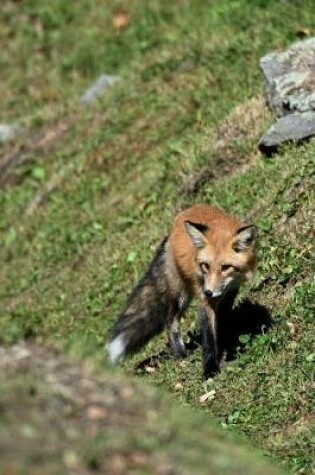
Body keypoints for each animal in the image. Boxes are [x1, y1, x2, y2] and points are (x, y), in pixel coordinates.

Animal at [107, 205, 258, 380]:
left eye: (225, 267)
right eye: (205, 266)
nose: (208, 291)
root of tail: (174, 226)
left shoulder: (230, 290)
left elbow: (223, 319)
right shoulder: (205, 301)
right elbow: (209, 338)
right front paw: (210, 370)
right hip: (181, 295)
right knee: (170, 321)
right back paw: (181, 355)